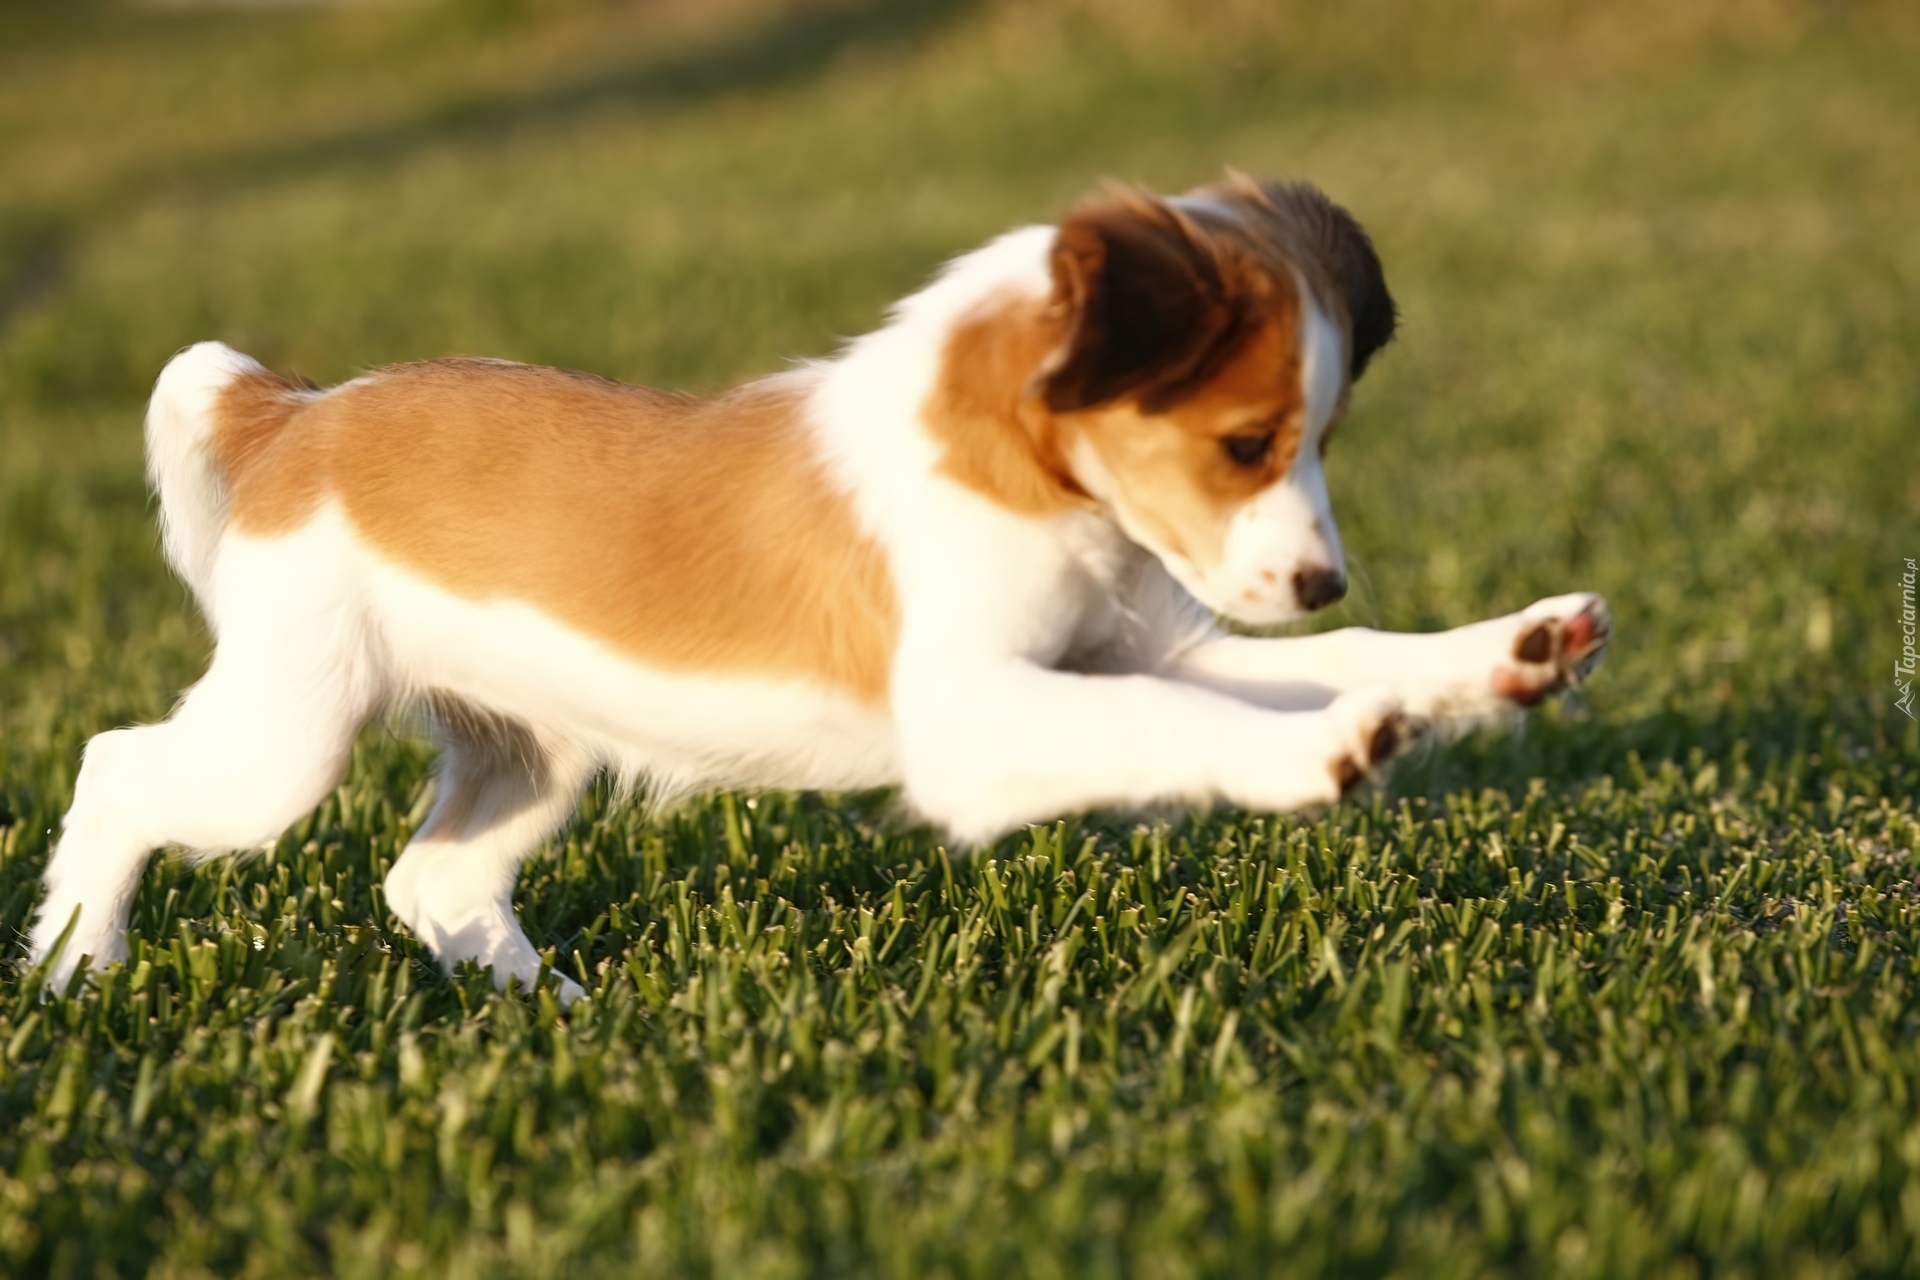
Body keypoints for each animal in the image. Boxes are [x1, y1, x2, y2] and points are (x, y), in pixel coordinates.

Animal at [30, 177, 1605, 997]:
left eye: (1323, 437)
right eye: (1245, 443)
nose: (1318, 576)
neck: (1020, 478)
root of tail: (294, 413)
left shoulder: (1124, 651)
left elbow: (1356, 656)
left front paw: (1510, 651)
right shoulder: (979, 718)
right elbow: (1191, 727)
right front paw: (1318, 753)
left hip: (532, 748)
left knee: (434, 879)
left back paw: (559, 1015)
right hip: (285, 741)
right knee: (118, 766)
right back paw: (72, 970)